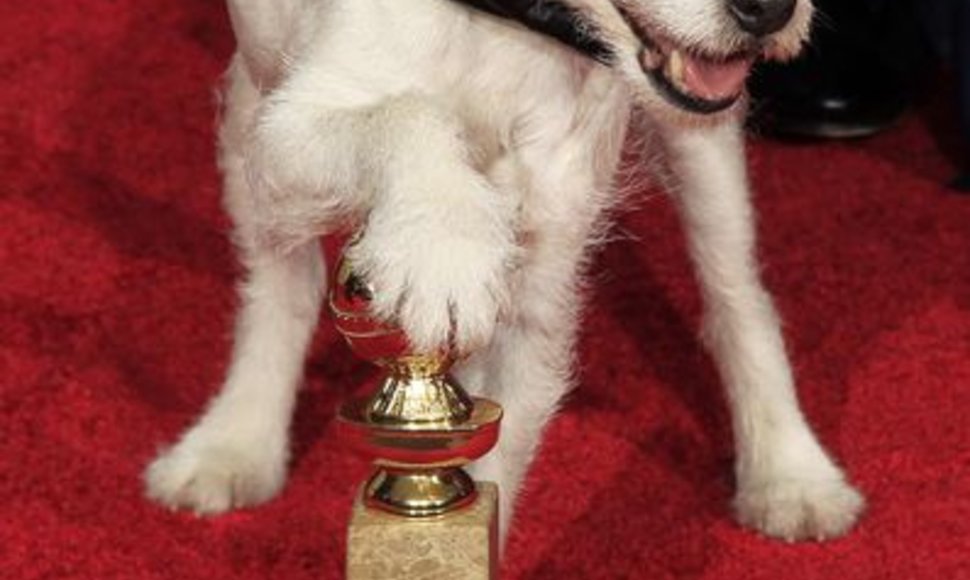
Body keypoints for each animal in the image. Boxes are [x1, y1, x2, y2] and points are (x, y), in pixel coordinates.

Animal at [149, 0, 864, 544]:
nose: (770, 10)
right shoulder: (289, 129)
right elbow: (405, 111)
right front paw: (440, 234)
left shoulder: (542, 278)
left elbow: (489, 468)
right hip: (251, 121)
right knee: (282, 286)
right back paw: (233, 443)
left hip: (698, 141)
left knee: (736, 297)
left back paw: (790, 473)